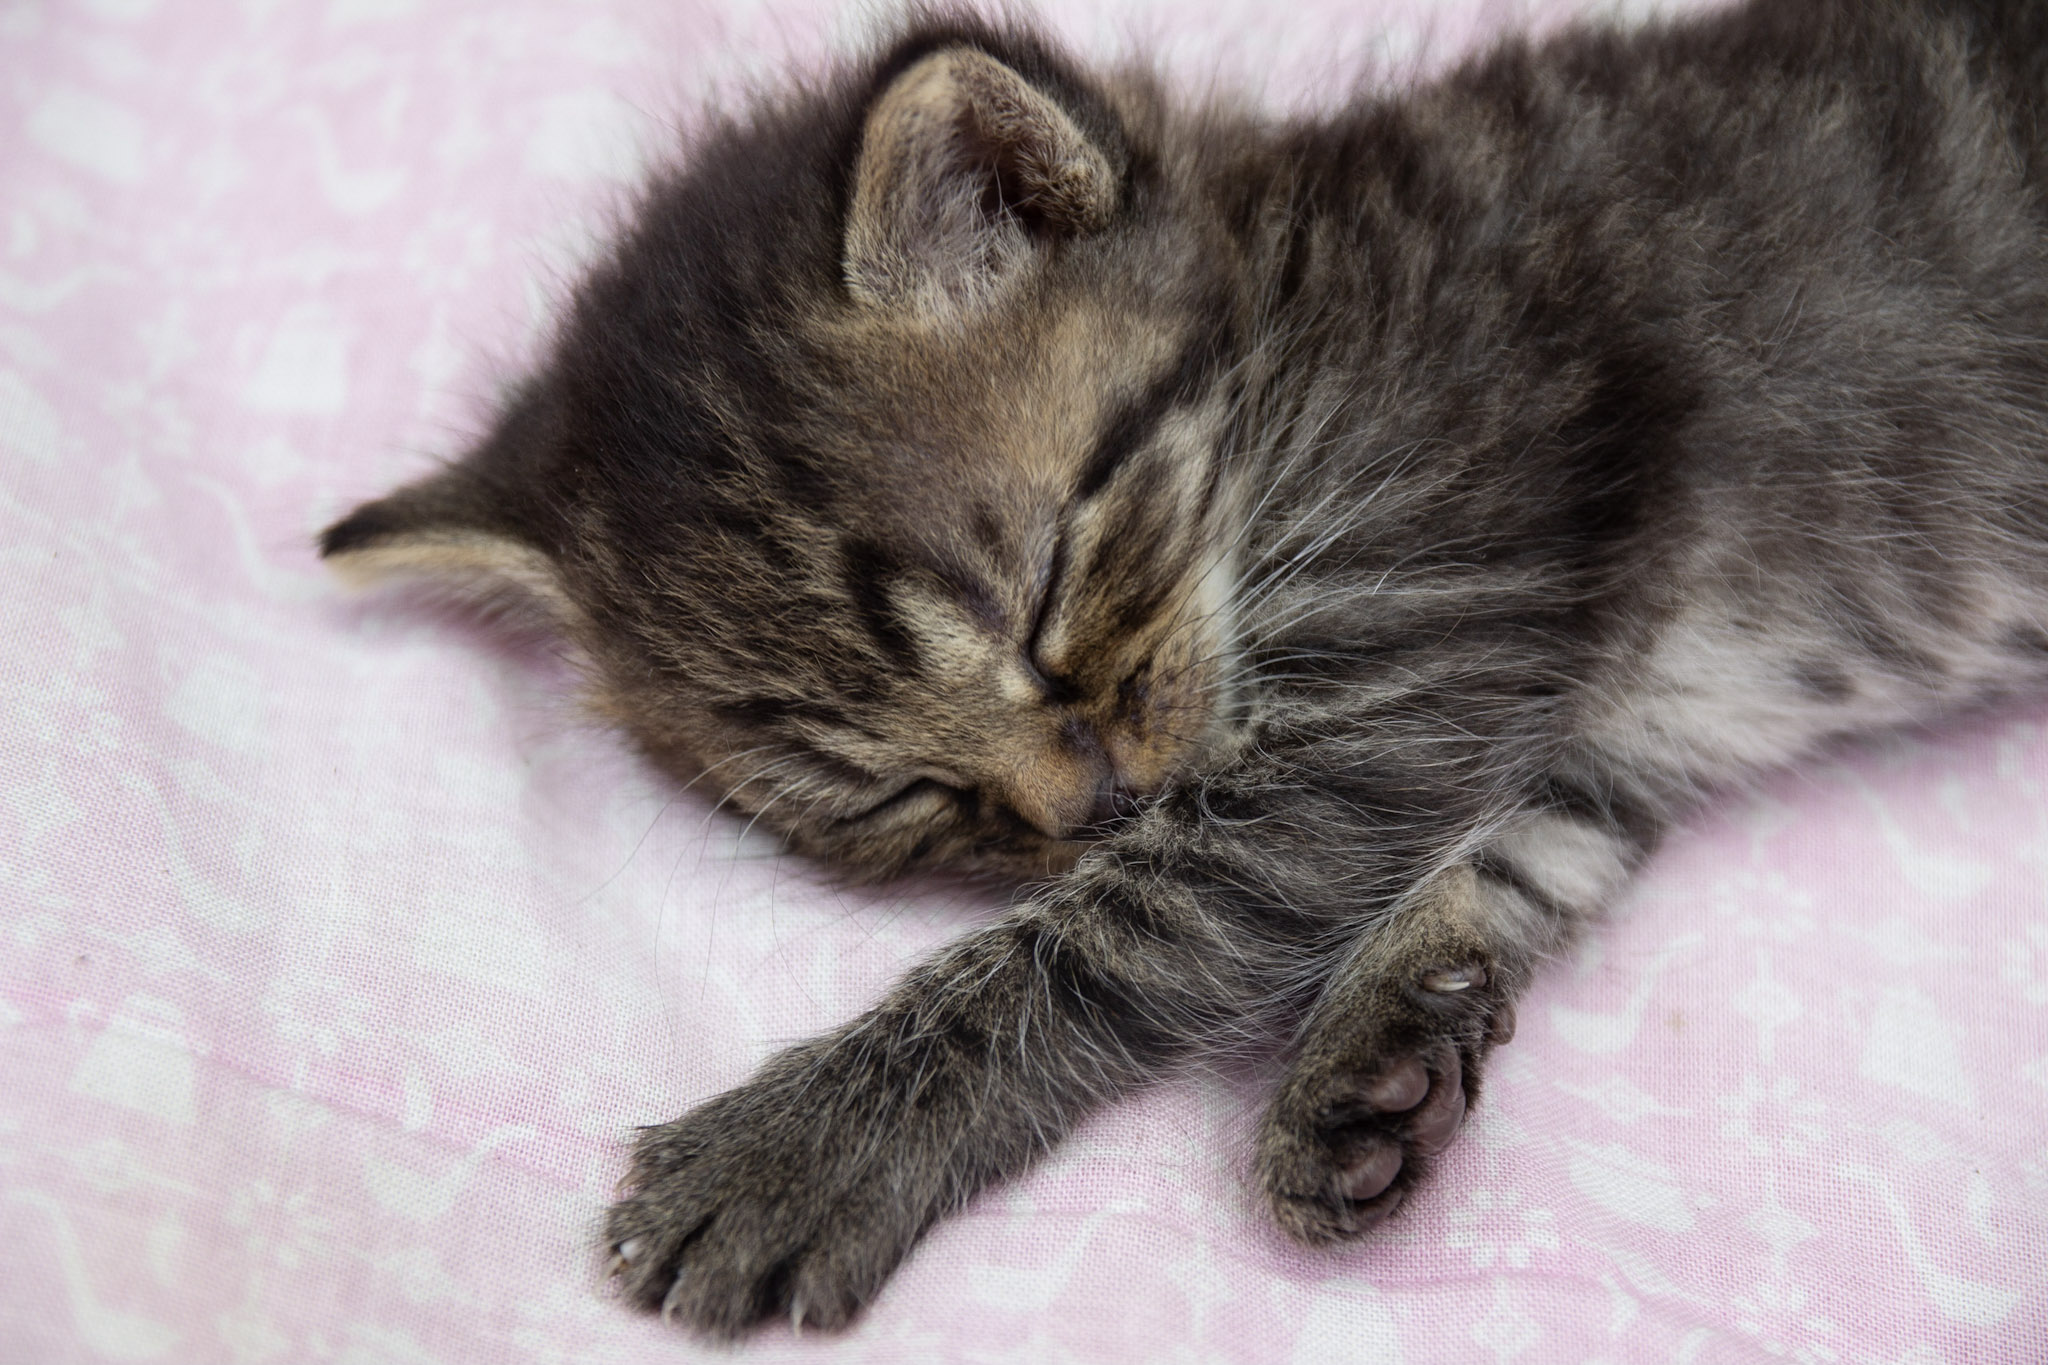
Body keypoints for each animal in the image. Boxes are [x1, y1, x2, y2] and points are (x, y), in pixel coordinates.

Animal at [320, 0, 2048, 1337]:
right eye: (886, 796)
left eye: (1046, 596)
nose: (1088, 808)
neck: (1289, 312)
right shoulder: (1552, 716)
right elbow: (1516, 854)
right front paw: (1375, 1058)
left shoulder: (1426, 619)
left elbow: (1116, 934)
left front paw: (791, 1152)